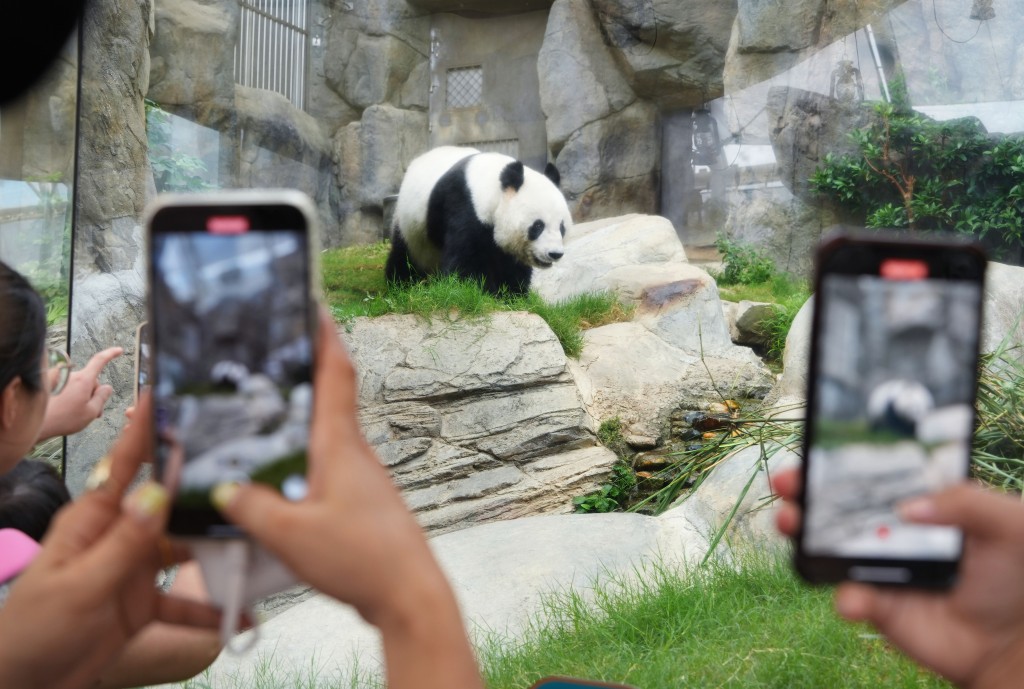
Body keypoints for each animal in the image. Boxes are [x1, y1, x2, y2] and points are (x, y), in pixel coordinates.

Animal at [385, 145, 577, 294]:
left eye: (562, 227)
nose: (554, 253)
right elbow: (466, 262)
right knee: (404, 258)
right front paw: (482, 292)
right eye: (537, 226)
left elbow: (511, 267)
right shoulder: (464, 205)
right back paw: (400, 285)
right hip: (410, 226)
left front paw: (512, 294)